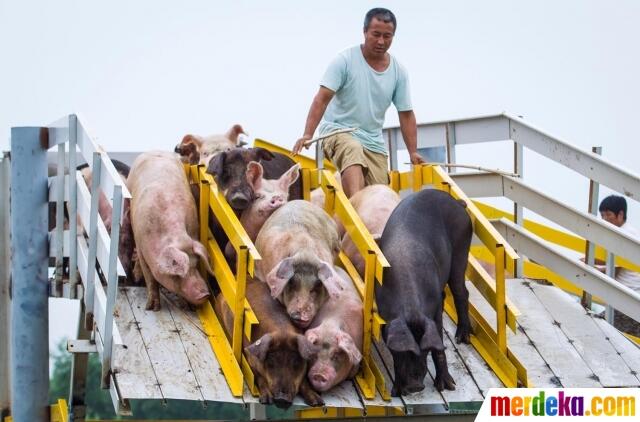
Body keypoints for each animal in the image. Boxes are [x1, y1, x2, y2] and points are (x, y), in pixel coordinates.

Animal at [127, 152, 212, 310]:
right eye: (177, 275)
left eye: (196, 264)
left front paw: (183, 306)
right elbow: (150, 278)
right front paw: (152, 308)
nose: (205, 294)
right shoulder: (141, 247)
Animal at [216, 276, 324, 408]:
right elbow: (258, 377)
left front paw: (318, 402)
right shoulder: (250, 357)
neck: (282, 331)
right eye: (271, 361)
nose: (282, 399)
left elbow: (303, 381)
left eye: (296, 362)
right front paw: (266, 401)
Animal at [376, 190, 470, 394]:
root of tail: (457, 203)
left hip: (461, 248)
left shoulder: (436, 306)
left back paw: (462, 338)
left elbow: (439, 343)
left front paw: (447, 387)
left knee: (461, 291)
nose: (416, 386)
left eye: (425, 350)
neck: (411, 307)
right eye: (404, 351)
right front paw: (396, 392)